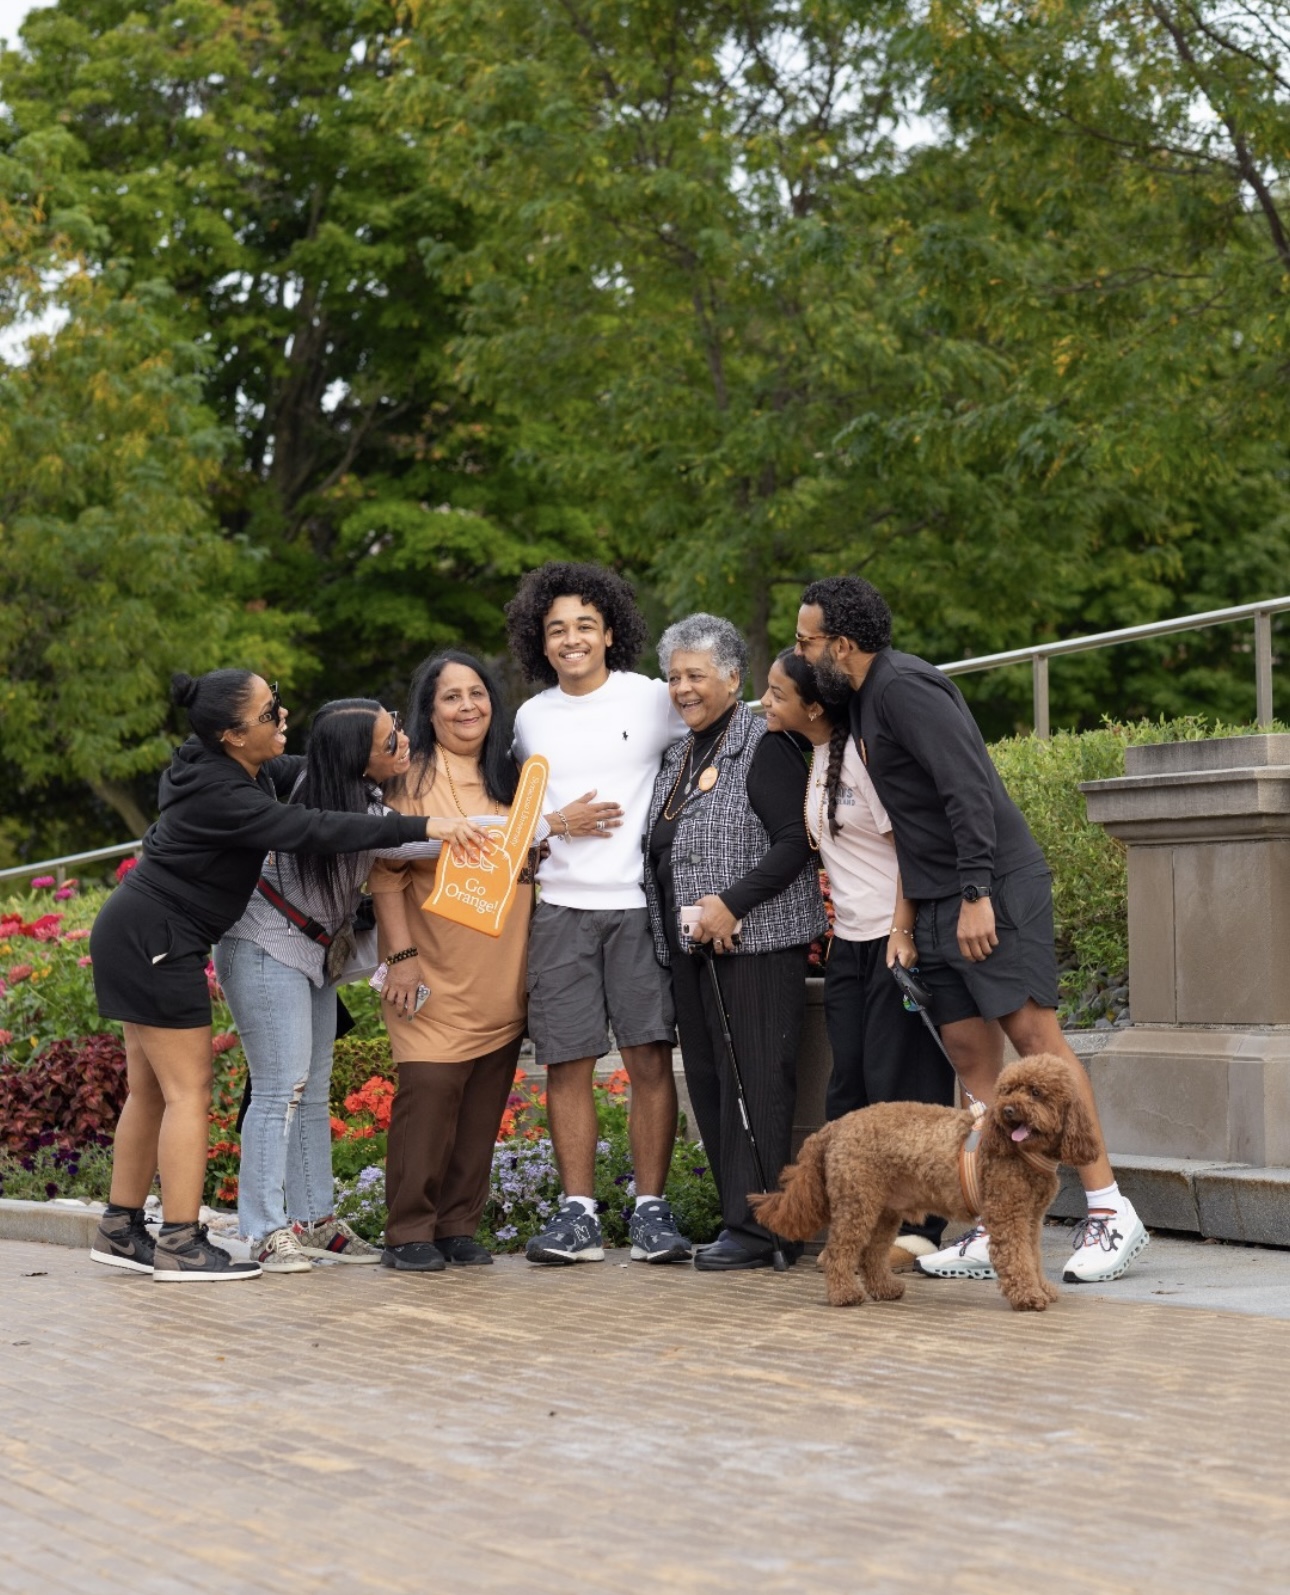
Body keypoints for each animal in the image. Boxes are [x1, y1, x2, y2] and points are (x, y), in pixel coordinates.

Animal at [746, 1059, 1097, 1307]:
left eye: (1036, 1092)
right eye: (1008, 1090)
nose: (1008, 1110)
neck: (1024, 1152)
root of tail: (835, 1126)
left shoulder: (1031, 1219)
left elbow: (1033, 1257)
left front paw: (1042, 1288)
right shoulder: (1008, 1214)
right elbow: (1017, 1258)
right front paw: (1027, 1295)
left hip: (883, 1212)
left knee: (870, 1255)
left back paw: (885, 1288)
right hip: (857, 1203)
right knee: (839, 1253)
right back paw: (844, 1294)